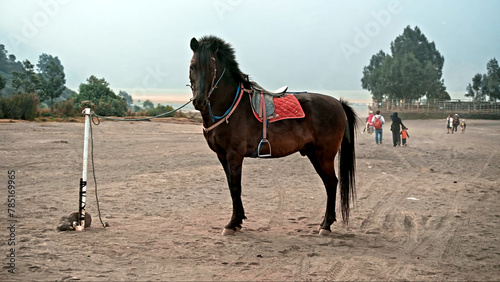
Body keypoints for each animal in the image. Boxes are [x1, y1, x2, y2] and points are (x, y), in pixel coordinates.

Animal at [189, 35, 358, 236]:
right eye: (192, 66)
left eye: (211, 68)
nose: (199, 101)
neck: (230, 105)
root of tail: (338, 104)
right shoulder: (222, 156)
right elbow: (231, 187)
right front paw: (238, 220)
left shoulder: (234, 155)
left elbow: (236, 187)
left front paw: (232, 224)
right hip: (313, 154)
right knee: (328, 183)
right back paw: (325, 222)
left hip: (324, 155)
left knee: (331, 183)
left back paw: (326, 226)